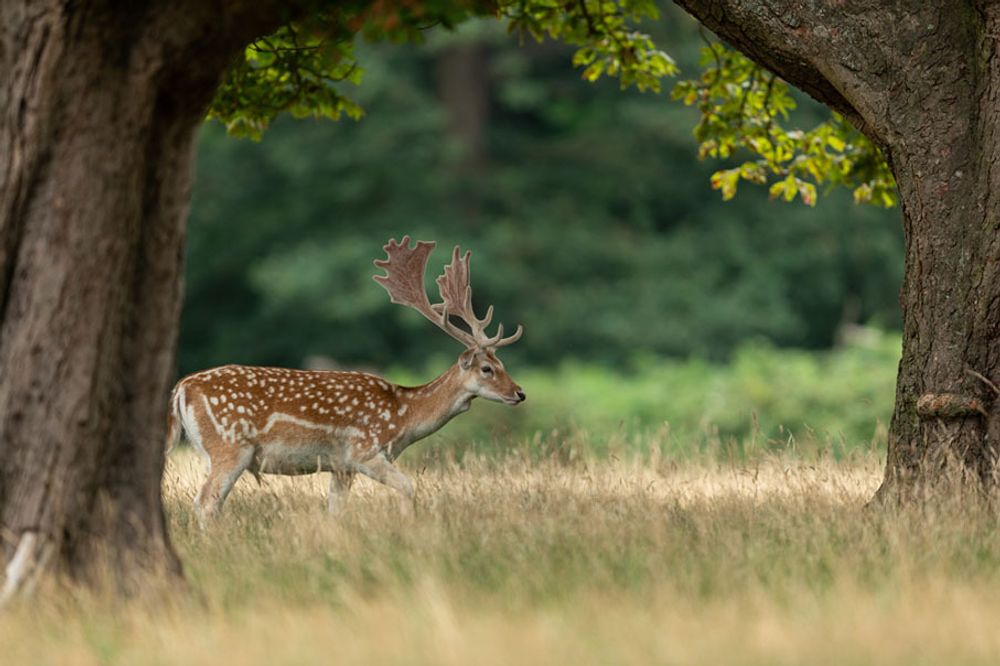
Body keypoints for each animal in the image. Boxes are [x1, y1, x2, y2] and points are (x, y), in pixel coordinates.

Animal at [166, 236, 524, 520]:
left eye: (502, 362)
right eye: (487, 368)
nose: (520, 393)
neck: (403, 416)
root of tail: (182, 387)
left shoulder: (340, 466)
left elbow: (335, 510)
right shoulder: (363, 450)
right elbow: (409, 487)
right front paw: (410, 525)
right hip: (229, 446)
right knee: (206, 502)